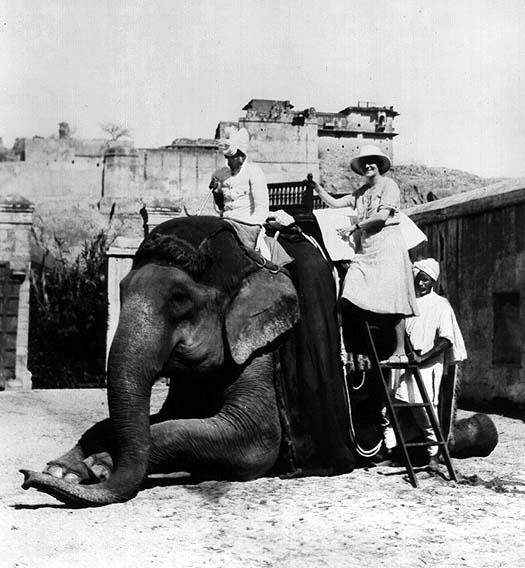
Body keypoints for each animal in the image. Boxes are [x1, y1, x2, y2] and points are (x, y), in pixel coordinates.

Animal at [20, 216, 496, 506]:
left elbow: (251, 442)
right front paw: (65, 468)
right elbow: (169, 414)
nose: (24, 476)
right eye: (120, 290)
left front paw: (97, 467)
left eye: (179, 301)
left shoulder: (267, 350)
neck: (253, 261)